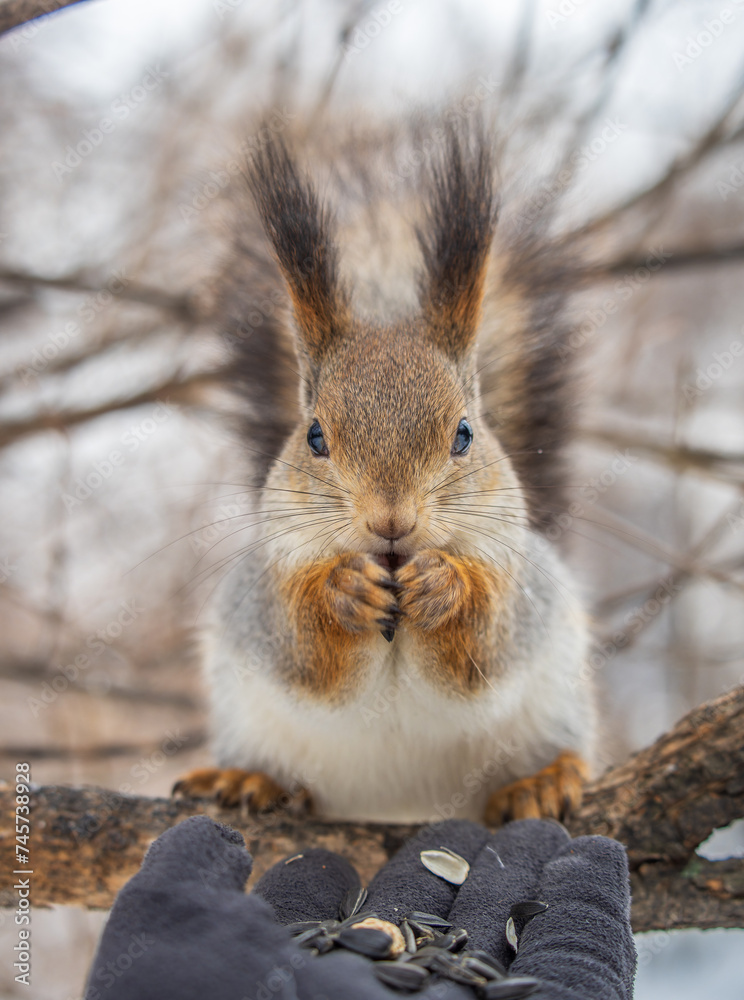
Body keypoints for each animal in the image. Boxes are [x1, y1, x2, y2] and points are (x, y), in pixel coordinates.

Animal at [173, 115, 596, 825]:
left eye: (464, 434)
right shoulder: (269, 593)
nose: (390, 521)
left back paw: (544, 779)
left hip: (558, 691)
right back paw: (249, 779)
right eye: (315, 435)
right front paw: (343, 590)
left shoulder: (515, 583)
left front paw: (443, 585)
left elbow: (482, 646)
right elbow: (308, 654)